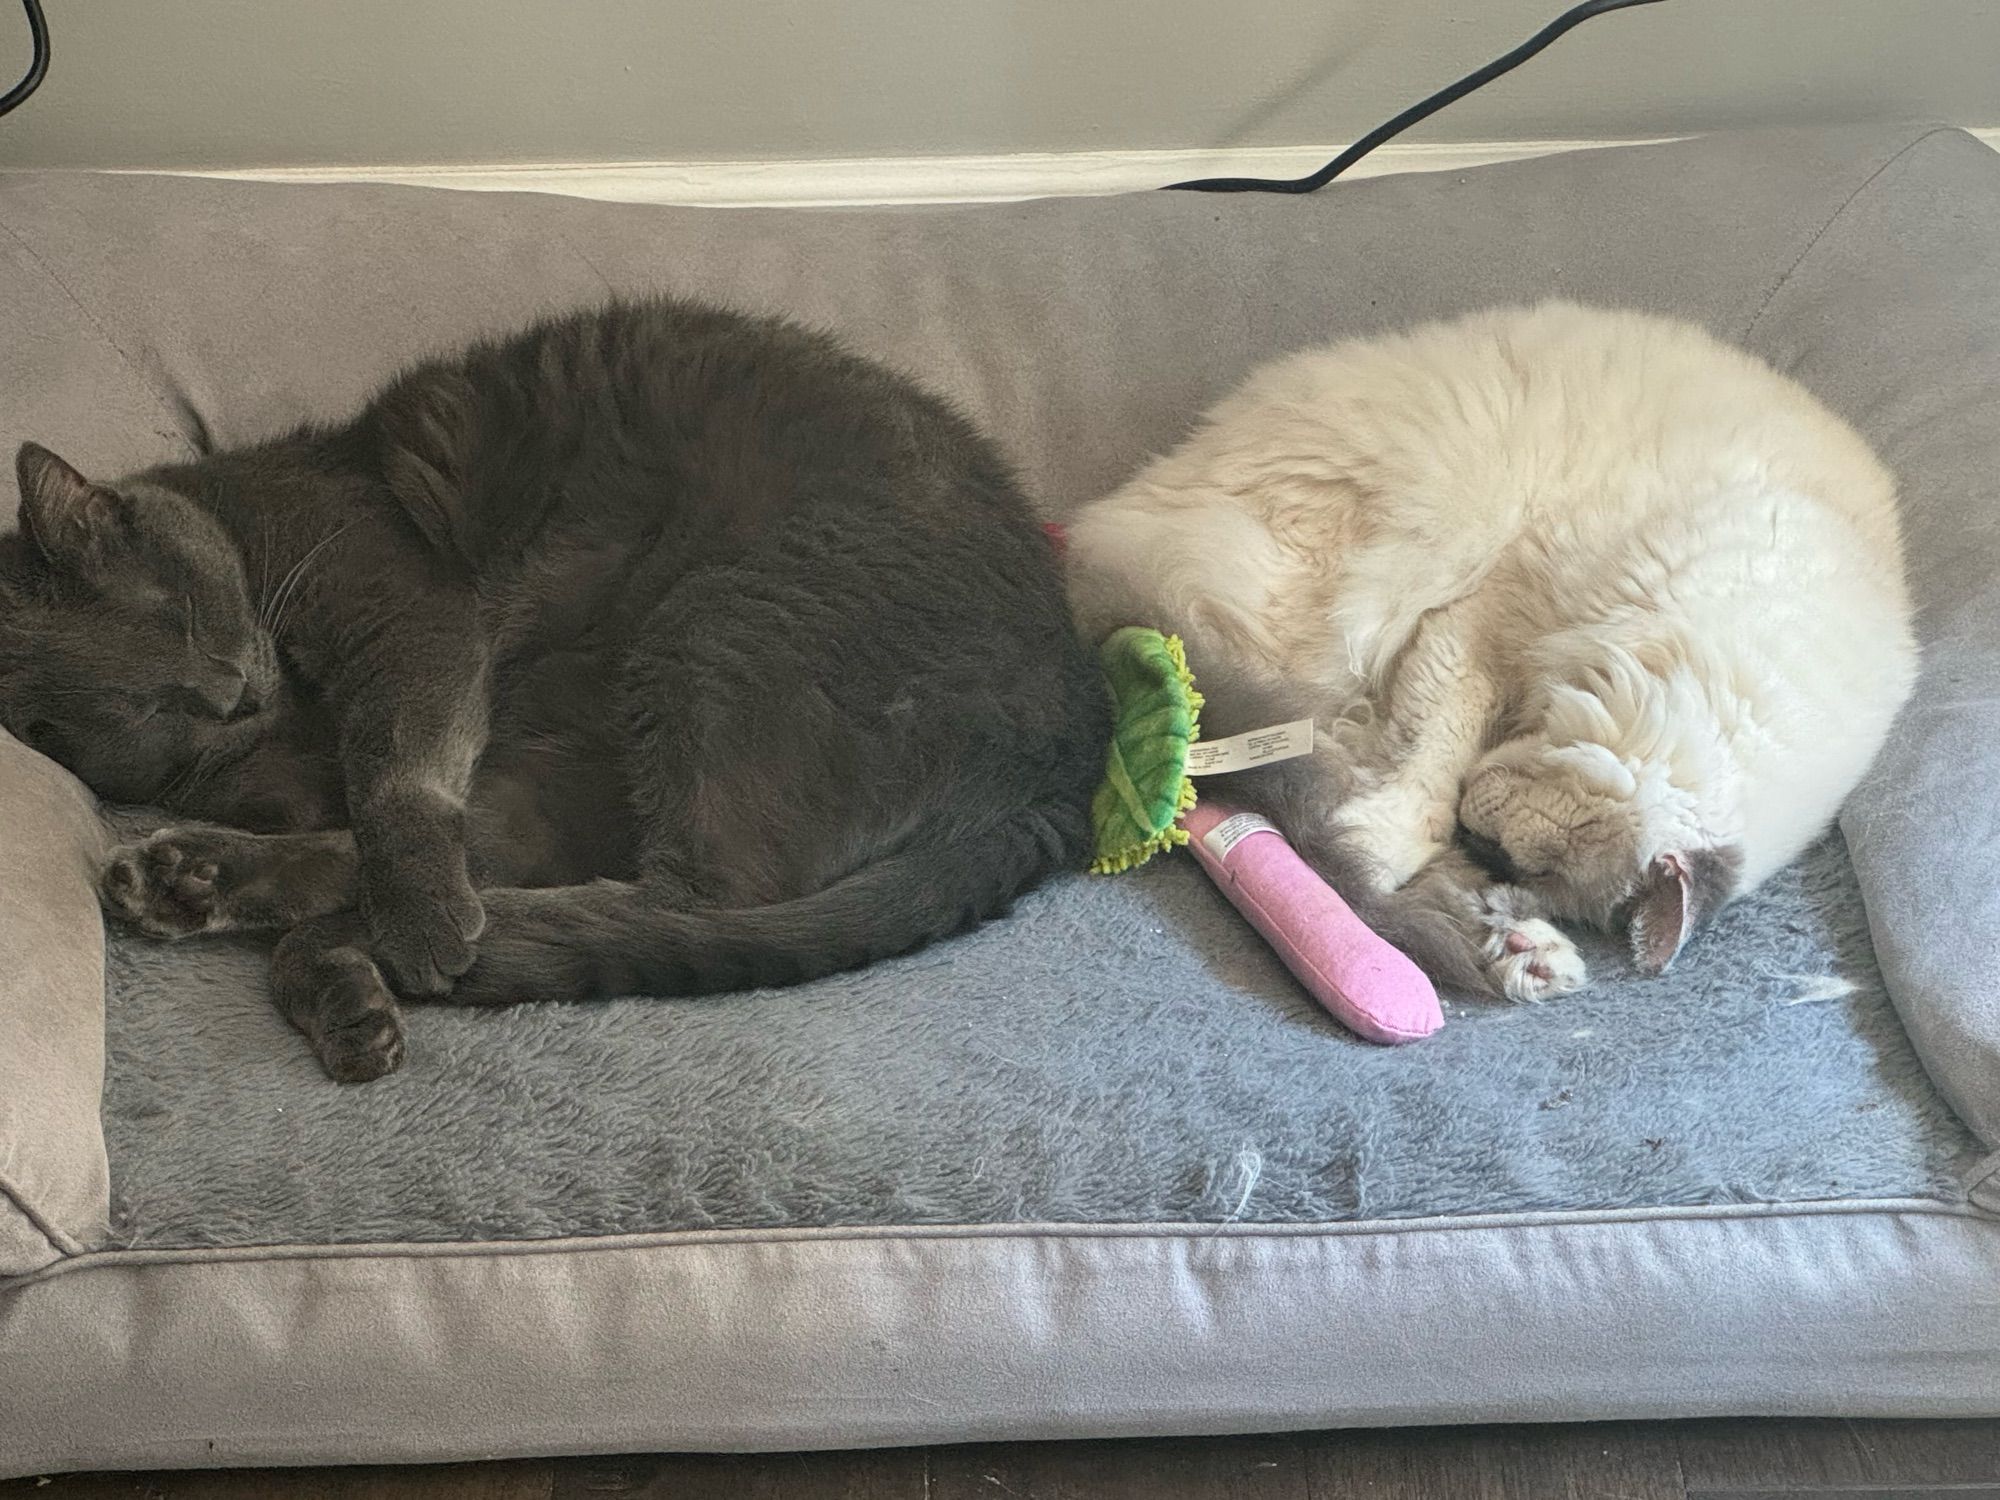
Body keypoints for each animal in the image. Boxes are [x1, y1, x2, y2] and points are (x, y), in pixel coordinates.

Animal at [0, 300, 1104, 1088]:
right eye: (153, 708)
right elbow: (383, 802)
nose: (231, 691)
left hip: (722, 623)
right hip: (596, 727)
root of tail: (1068, 767)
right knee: (551, 867)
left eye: (175, 615)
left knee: (689, 900)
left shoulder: (403, 604)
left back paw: (340, 932)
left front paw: (409, 908)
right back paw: (252, 917)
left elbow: (396, 771)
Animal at [1072, 302, 1912, 1004]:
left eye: (1529, 867)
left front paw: (1492, 907)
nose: (1486, 848)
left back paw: (1527, 957)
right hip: (1342, 598)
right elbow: (1431, 769)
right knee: (1306, 768)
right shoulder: (1480, 626)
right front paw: (1389, 838)